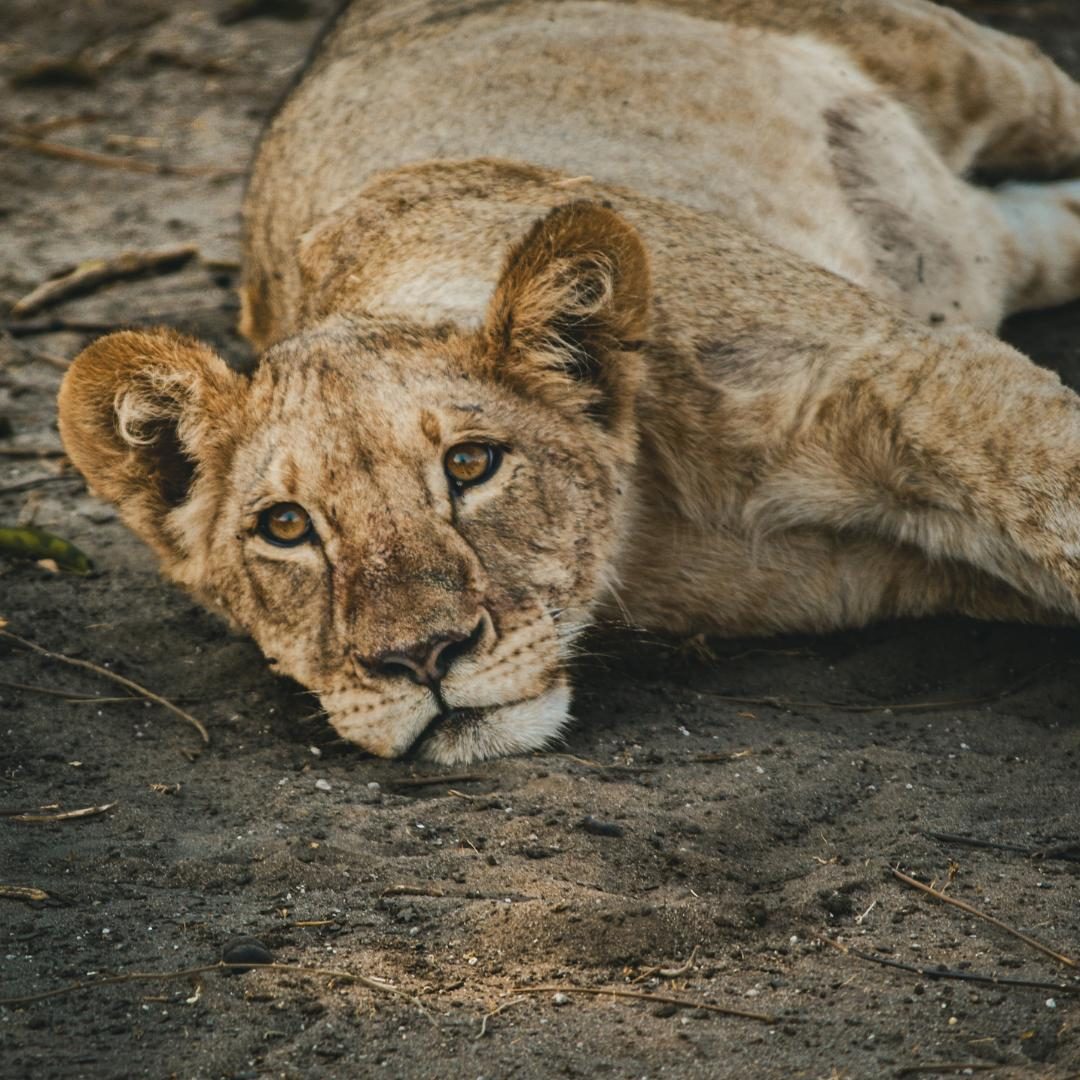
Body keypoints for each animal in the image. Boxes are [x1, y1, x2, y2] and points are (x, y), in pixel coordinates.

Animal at [57, 0, 1080, 763]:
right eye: (284, 527)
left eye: (471, 466)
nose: (422, 658)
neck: (653, 515)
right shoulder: (883, 567)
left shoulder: (903, 367)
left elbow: (1054, 499)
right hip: (990, 236)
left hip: (965, 64)